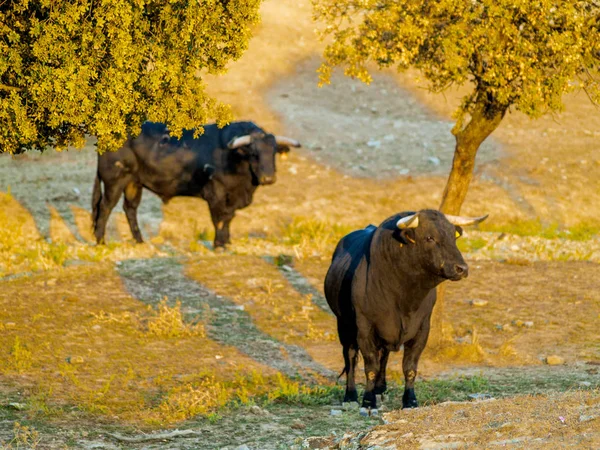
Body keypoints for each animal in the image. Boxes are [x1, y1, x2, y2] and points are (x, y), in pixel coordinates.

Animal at [91, 121, 300, 248]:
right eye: (253, 153)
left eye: (273, 152)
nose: (268, 178)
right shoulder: (216, 194)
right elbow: (219, 219)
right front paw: (219, 245)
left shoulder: (233, 198)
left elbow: (229, 218)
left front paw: (227, 242)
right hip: (114, 181)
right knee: (105, 207)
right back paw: (101, 241)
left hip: (134, 183)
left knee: (130, 208)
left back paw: (140, 241)